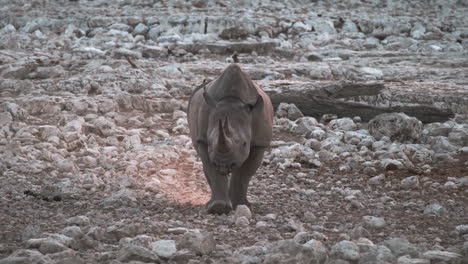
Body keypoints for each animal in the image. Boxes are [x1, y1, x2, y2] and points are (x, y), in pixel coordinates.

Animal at [187, 64, 274, 214]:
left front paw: (240, 205)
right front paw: (218, 207)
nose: (224, 165)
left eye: (245, 144)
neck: (232, 100)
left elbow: (244, 172)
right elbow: (210, 168)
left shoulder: (260, 143)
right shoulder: (202, 140)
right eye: (210, 143)